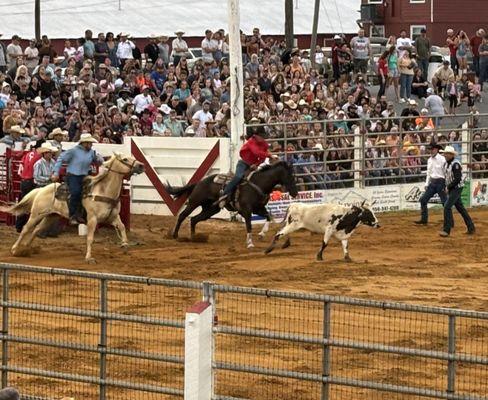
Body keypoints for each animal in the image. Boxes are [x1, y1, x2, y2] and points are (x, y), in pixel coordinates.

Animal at [0, 153, 144, 262]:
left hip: (51, 216)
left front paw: (125, 245)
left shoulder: (113, 217)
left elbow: (122, 227)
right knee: (26, 229)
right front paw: (89, 257)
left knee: (36, 230)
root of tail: (41, 190)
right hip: (36, 214)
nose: (141, 165)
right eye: (125, 159)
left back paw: (26, 248)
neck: (103, 191)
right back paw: (15, 249)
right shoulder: (92, 219)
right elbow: (90, 238)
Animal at [166, 161, 300, 248]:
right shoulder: (246, 210)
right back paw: (175, 235)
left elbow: (268, 217)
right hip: (194, 202)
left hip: (211, 209)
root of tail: (199, 182)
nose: (295, 193)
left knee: (194, 219)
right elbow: (249, 225)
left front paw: (262, 234)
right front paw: (250, 243)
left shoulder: (258, 208)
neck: (259, 184)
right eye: (290, 176)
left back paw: (194, 238)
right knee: (183, 215)